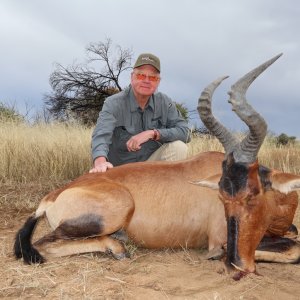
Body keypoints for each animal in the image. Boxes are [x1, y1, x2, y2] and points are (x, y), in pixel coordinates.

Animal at [14, 53, 300, 276]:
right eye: (222, 196)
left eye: (253, 194)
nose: (237, 265)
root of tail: (53, 195)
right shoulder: (219, 239)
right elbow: (293, 250)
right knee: (42, 246)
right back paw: (117, 248)